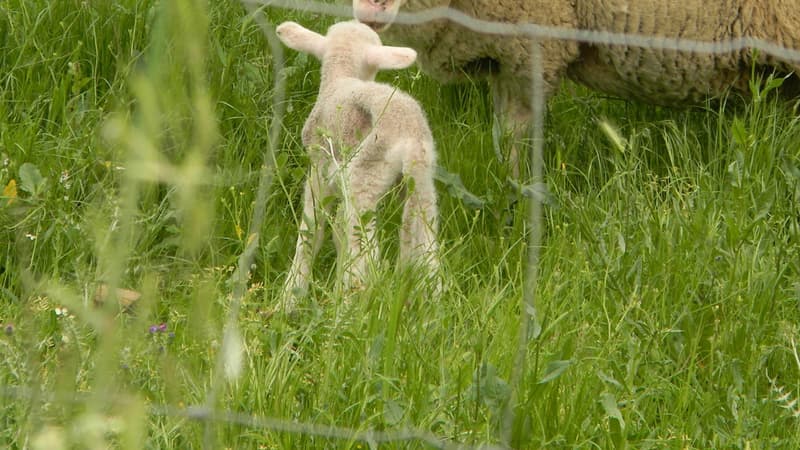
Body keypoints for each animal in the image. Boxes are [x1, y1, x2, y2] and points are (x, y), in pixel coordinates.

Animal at [274, 19, 438, 304]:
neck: (340, 77)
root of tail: (411, 139)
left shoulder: (319, 167)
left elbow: (312, 230)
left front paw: (290, 296)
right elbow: (336, 232)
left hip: (364, 176)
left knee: (362, 252)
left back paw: (347, 305)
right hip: (423, 185)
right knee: (427, 246)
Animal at [354, 0, 800, 172]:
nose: (368, 9)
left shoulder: (531, 42)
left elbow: (516, 135)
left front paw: (516, 200)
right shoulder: (504, 57)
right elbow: (504, 134)